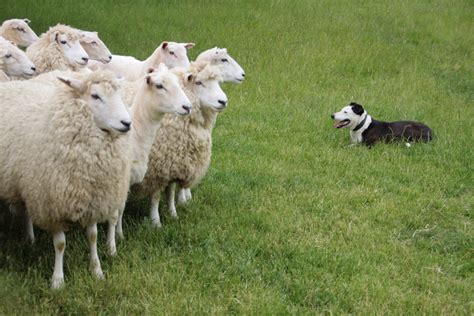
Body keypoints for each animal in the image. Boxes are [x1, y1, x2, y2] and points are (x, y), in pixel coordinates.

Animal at [0, 71, 133, 288]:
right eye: (95, 96)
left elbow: (93, 236)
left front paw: (96, 271)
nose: (127, 123)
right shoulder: (53, 205)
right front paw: (57, 280)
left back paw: (30, 239)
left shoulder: (93, 200)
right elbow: (60, 244)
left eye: (119, 95)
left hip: (28, 183)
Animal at [129, 63, 227, 227]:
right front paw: (156, 222)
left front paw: (173, 214)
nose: (223, 101)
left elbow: (171, 191)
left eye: (218, 82)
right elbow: (156, 197)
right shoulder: (157, 169)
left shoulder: (174, 165)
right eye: (198, 82)